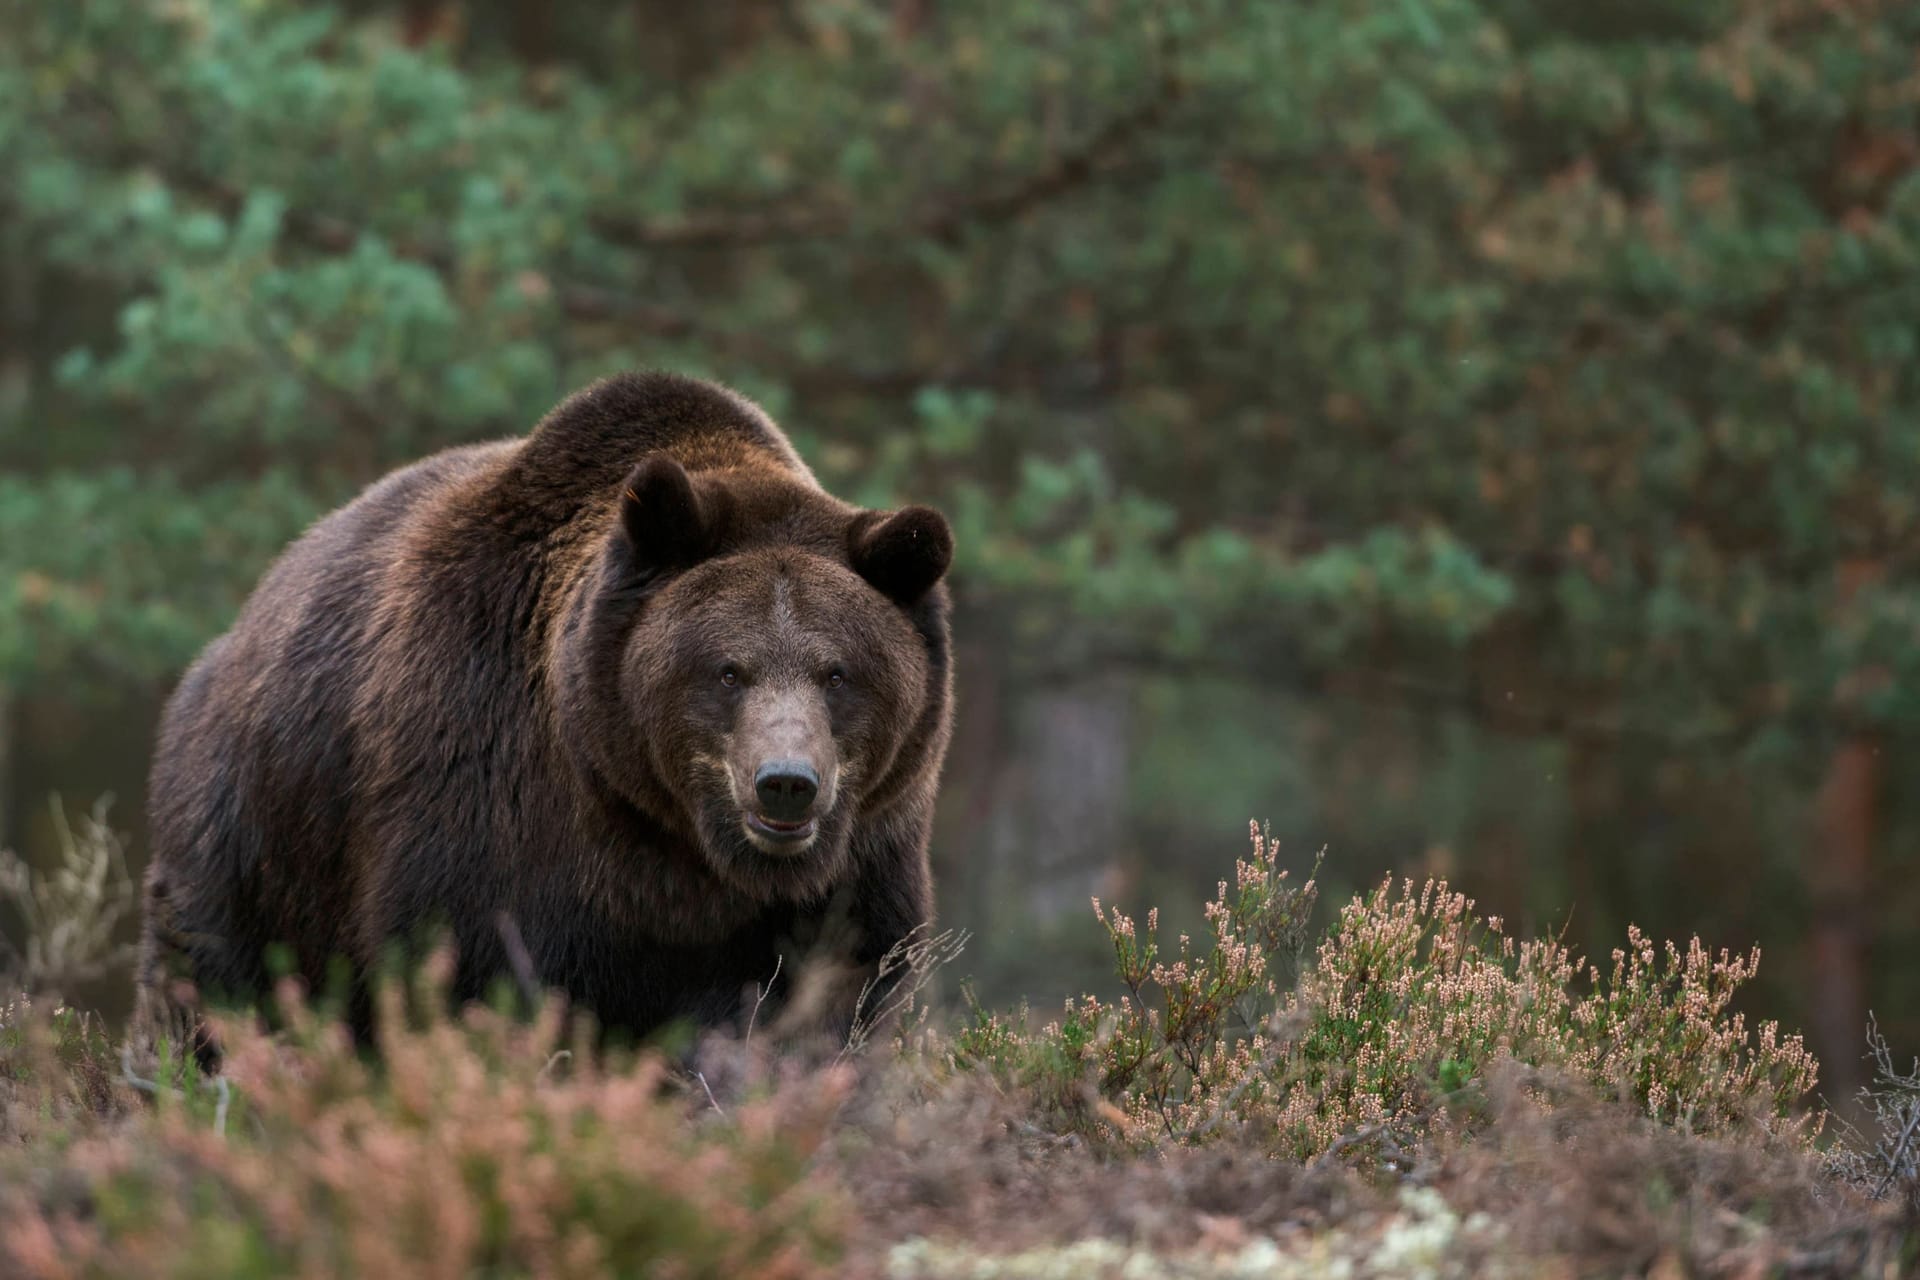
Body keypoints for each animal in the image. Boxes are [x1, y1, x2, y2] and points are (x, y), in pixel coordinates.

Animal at [135, 372, 952, 1059]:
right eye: (728, 669)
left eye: (837, 673)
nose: (785, 783)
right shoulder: (489, 804)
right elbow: (475, 976)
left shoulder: (861, 856)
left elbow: (833, 995)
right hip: (252, 836)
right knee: (216, 976)